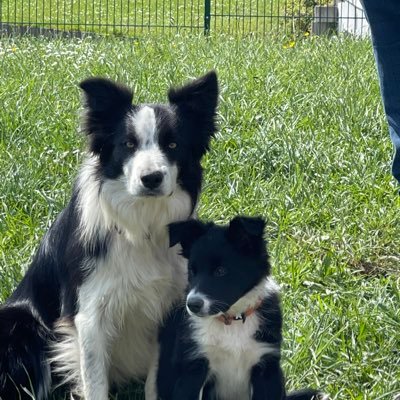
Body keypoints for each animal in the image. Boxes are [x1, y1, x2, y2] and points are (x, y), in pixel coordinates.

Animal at [0, 70, 219, 398]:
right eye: (128, 144)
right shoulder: (91, 316)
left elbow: (155, 379)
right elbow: (95, 383)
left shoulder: (167, 309)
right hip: (21, 325)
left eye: (172, 145)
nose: (151, 178)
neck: (141, 226)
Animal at [145, 216, 326, 400]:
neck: (232, 320)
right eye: (192, 270)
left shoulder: (265, 365)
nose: (192, 305)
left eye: (220, 271)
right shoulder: (193, 367)